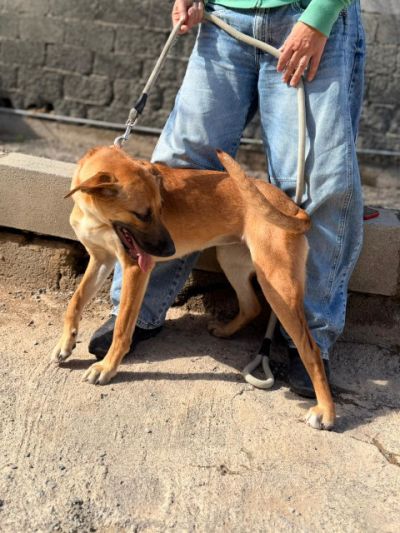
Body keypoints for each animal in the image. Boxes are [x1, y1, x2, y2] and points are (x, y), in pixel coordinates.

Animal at [51, 146, 335, 430]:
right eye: (142, 214)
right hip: (232, 261)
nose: (170, 250)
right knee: (251, 306)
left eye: (160, 208)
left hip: (279, 288)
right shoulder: (101, 260)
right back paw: (225, 330)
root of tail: (292, 207)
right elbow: (75, 302)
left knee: (311, 349)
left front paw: (107, 367)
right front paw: (66, 344)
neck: (97, 215)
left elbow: (122, 327)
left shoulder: (134, 268)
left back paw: (326, 411)